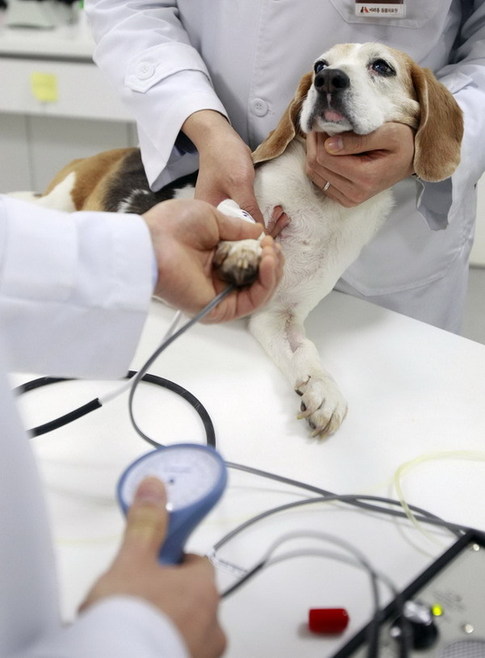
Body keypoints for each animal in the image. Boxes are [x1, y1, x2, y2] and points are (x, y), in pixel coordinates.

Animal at [33, 43, 462, 438]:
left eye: (382, 67)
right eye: (319, 65)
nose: (328, 80)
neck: (322, 203)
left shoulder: (278, 316)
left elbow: (306, 352)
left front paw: (322, 390)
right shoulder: (232, 207)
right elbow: (242, 222)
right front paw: (244, 249)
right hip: (59, 202)